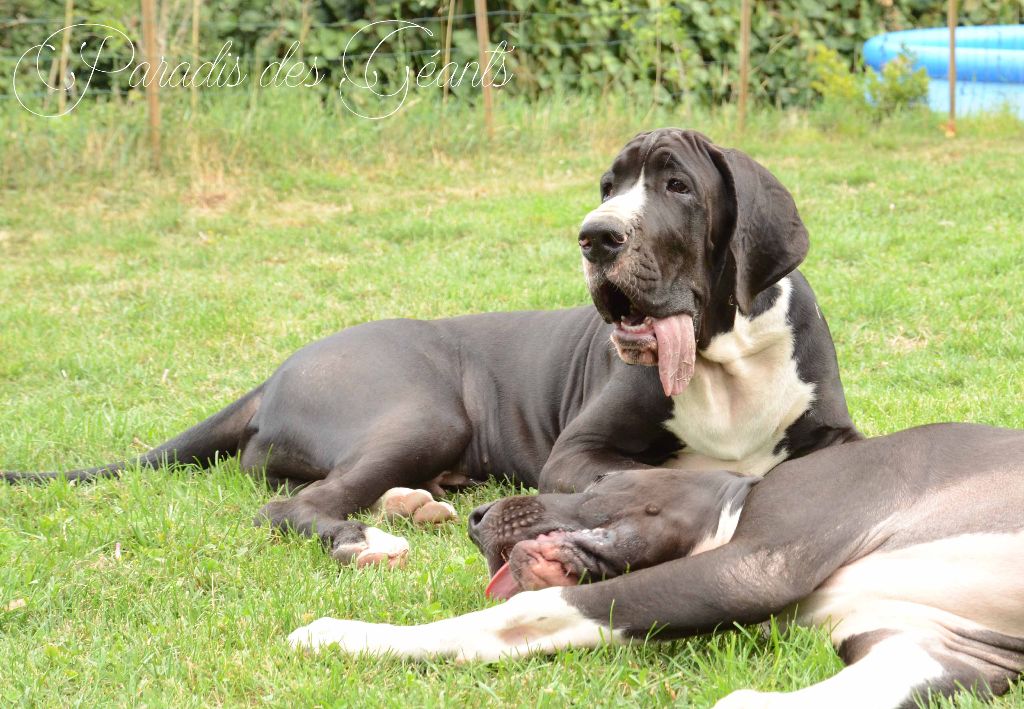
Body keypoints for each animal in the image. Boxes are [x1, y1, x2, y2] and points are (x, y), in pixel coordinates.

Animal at [3, 129, 859, 566]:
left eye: (678, 186)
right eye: (609, 187)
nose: (596, 235)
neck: (723, 350)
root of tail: (278, 369)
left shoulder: (837, 431)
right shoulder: (576, 452)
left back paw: (411, 502)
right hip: (421, 413)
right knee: (291, 503)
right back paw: (365, 537)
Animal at [290, 423, 1024, 709]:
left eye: (597, 478)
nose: (475, 517)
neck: (735, 501)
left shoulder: (754, 565)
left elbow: (520, 611)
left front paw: (342, 633)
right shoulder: (932, 649)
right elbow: (740, 698)